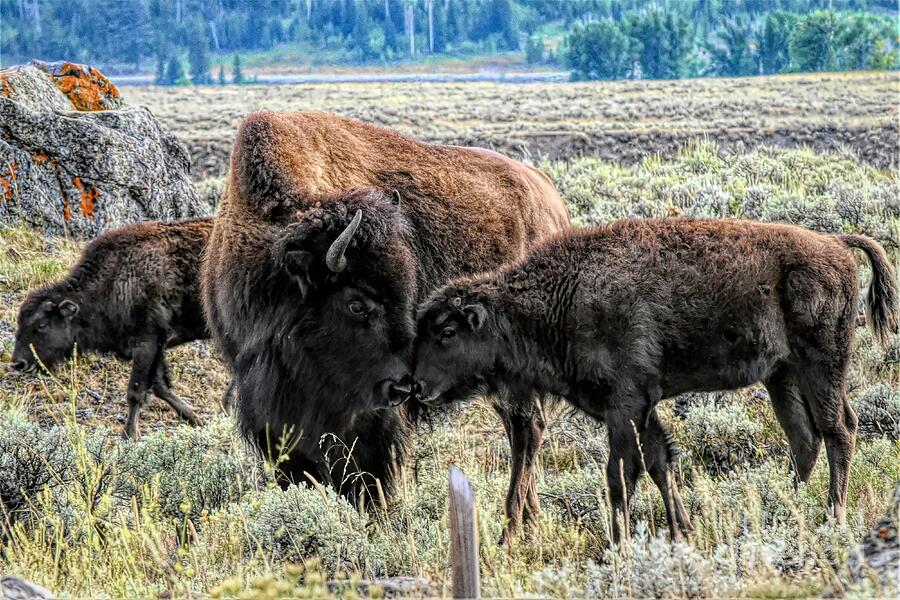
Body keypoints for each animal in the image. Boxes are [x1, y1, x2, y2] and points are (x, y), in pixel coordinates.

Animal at [9, 218, 216, 438]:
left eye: (42, 324)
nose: (18, 363)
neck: (114, 279)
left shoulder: (148, 343)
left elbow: (136, 391)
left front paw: (129, 434)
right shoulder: (154, 348)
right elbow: (160, 387)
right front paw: (196, 419)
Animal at [203, 112, 568, 524]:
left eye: (409, 292)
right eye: (357, 304)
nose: (403, 388)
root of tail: (549, 198)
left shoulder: (370, 419)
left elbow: (365, 476)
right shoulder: (270, 411)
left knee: (527, 428)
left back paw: (515, 522)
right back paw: (531, 515)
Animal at [414, 219, 900, 544]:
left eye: (447, 331)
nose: (414, 386)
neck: (560, 297)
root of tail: (835, 243)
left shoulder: (625, 406)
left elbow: (621, 473)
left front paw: (619, 542)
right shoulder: (641, 408)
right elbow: (659, 462)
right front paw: (682, 529)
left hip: (822, 365)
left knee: (839, 430)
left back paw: (832, 517)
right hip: (782, 377)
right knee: (804, 438)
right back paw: (785, 510)